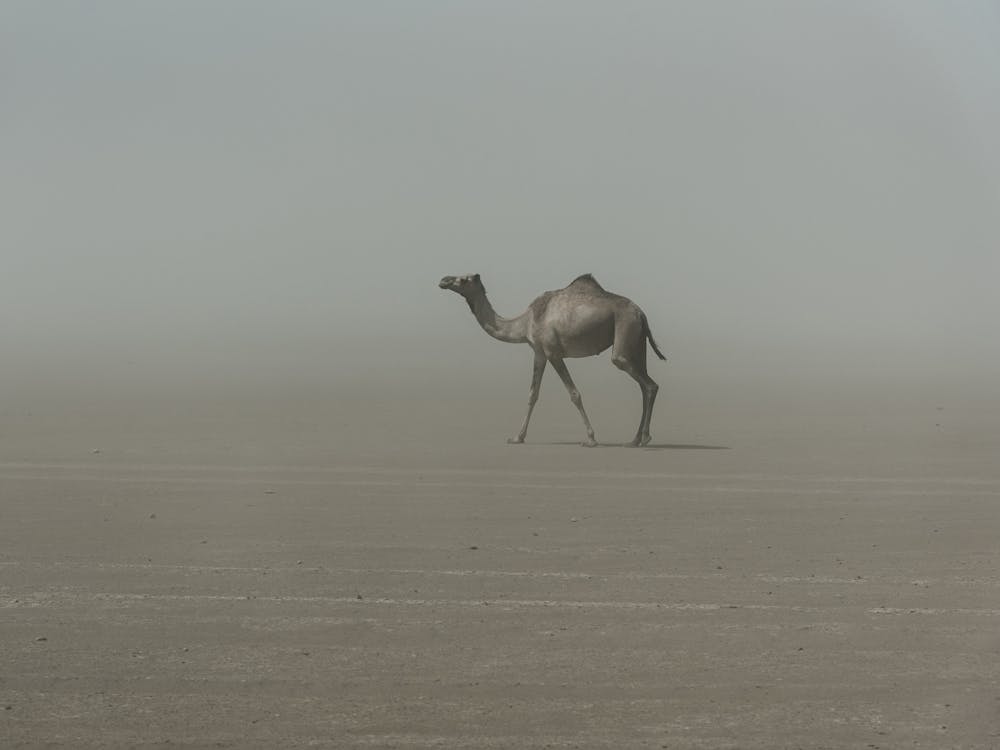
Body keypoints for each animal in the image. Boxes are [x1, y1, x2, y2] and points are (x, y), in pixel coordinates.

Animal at [439, 273, 666, 447]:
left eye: (464, 279)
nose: (444, 280)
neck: (524, 322)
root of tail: (641, 313)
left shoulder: (552, 352)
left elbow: (574, 394)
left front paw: (591, 439)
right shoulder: (539, 353)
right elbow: (533, 394)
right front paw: (517, 438)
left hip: (624, 332)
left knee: (647, 383)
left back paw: (645, 438)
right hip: (638, 341)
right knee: (644, 385)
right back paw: (634, 440)